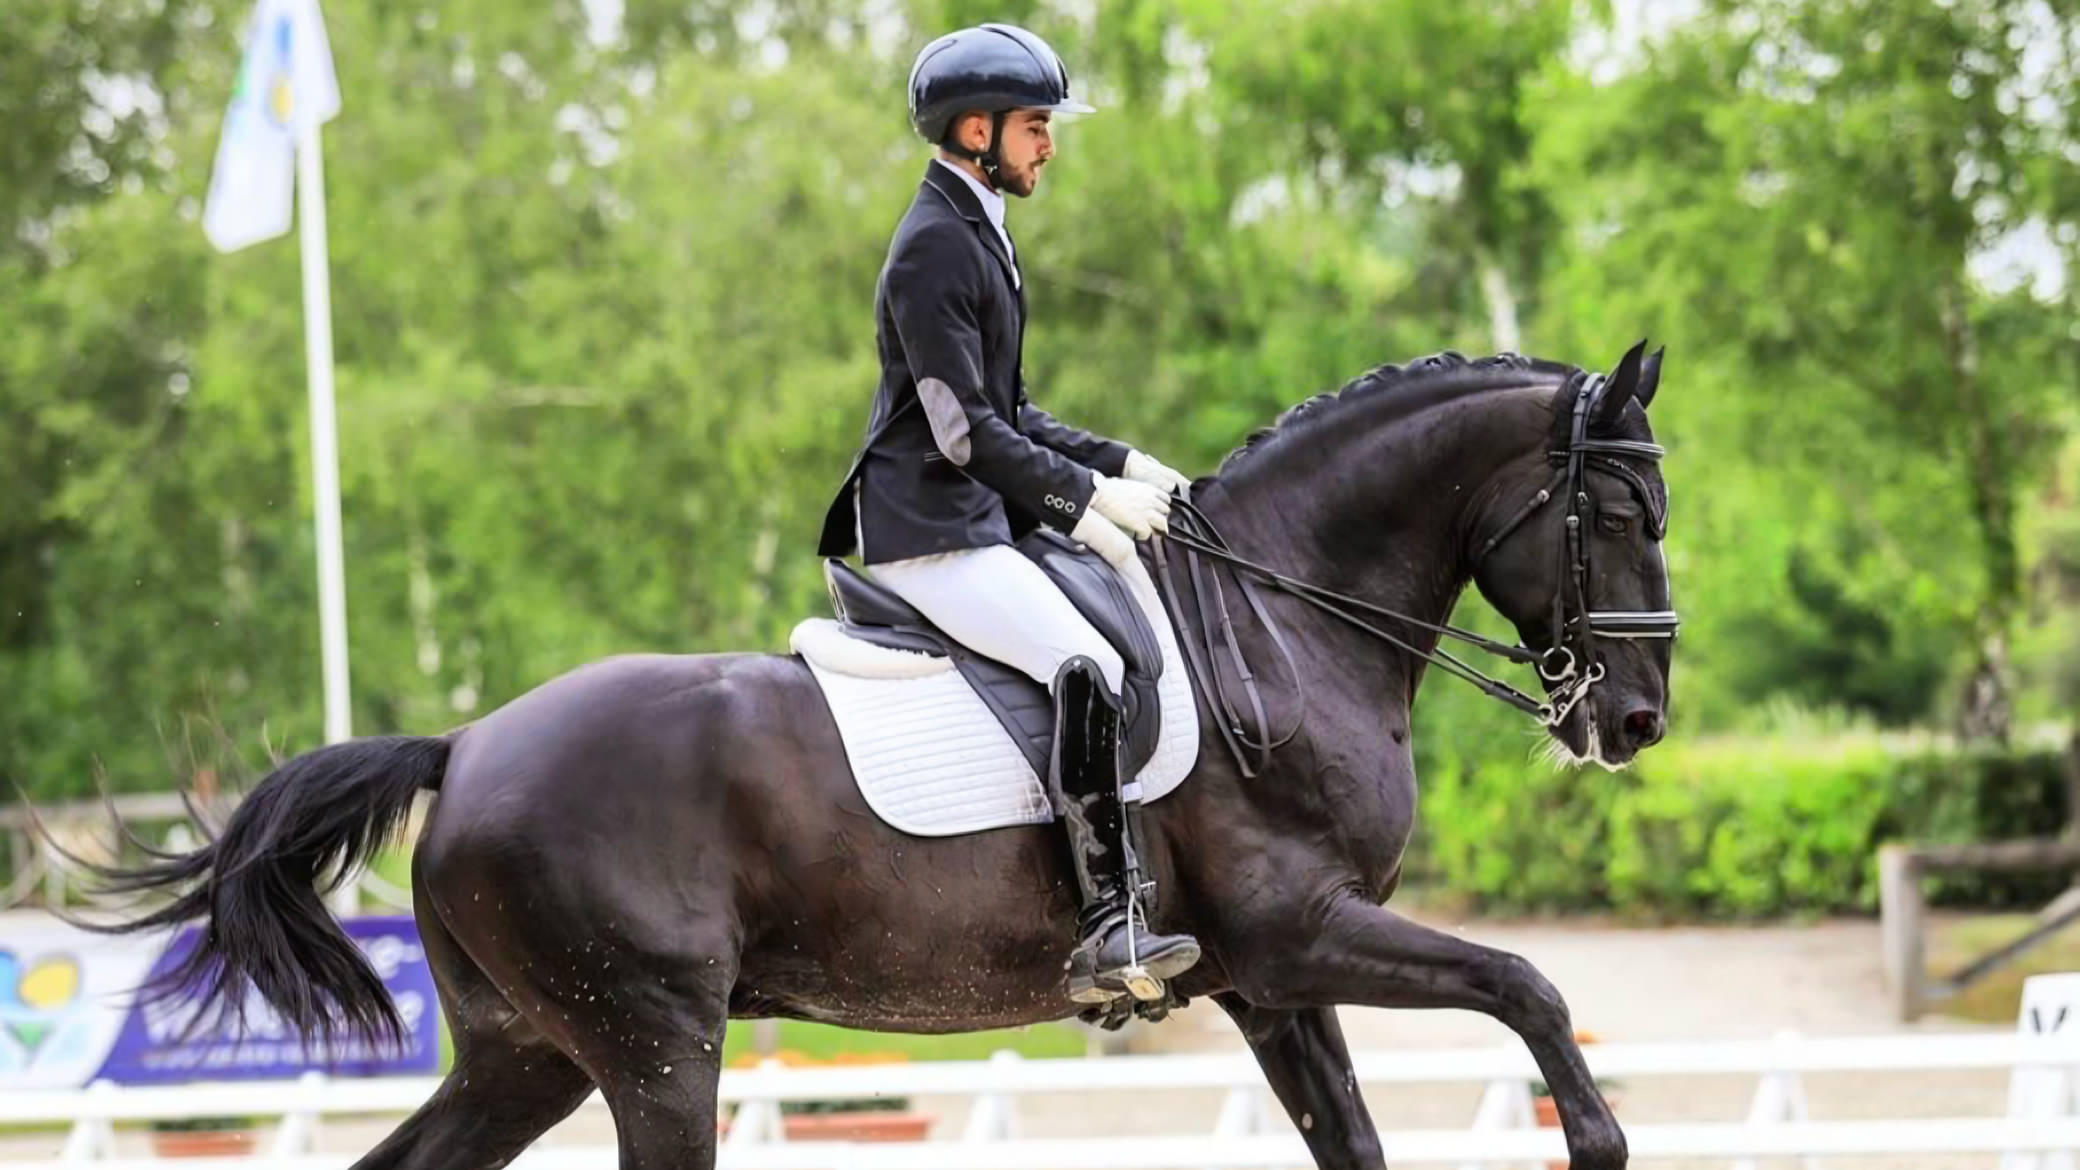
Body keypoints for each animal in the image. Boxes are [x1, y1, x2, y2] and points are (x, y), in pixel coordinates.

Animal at [76, 343, 1672, 1165]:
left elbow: (1364, 1132)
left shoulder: (1268, 981)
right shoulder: (1301, 933)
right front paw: (1594, 1138)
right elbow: (1528, 984)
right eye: (1616, 513)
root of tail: (463, 745)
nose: (1635, 721)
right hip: (654, 1043)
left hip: (530, 1052)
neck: (1281, 617)